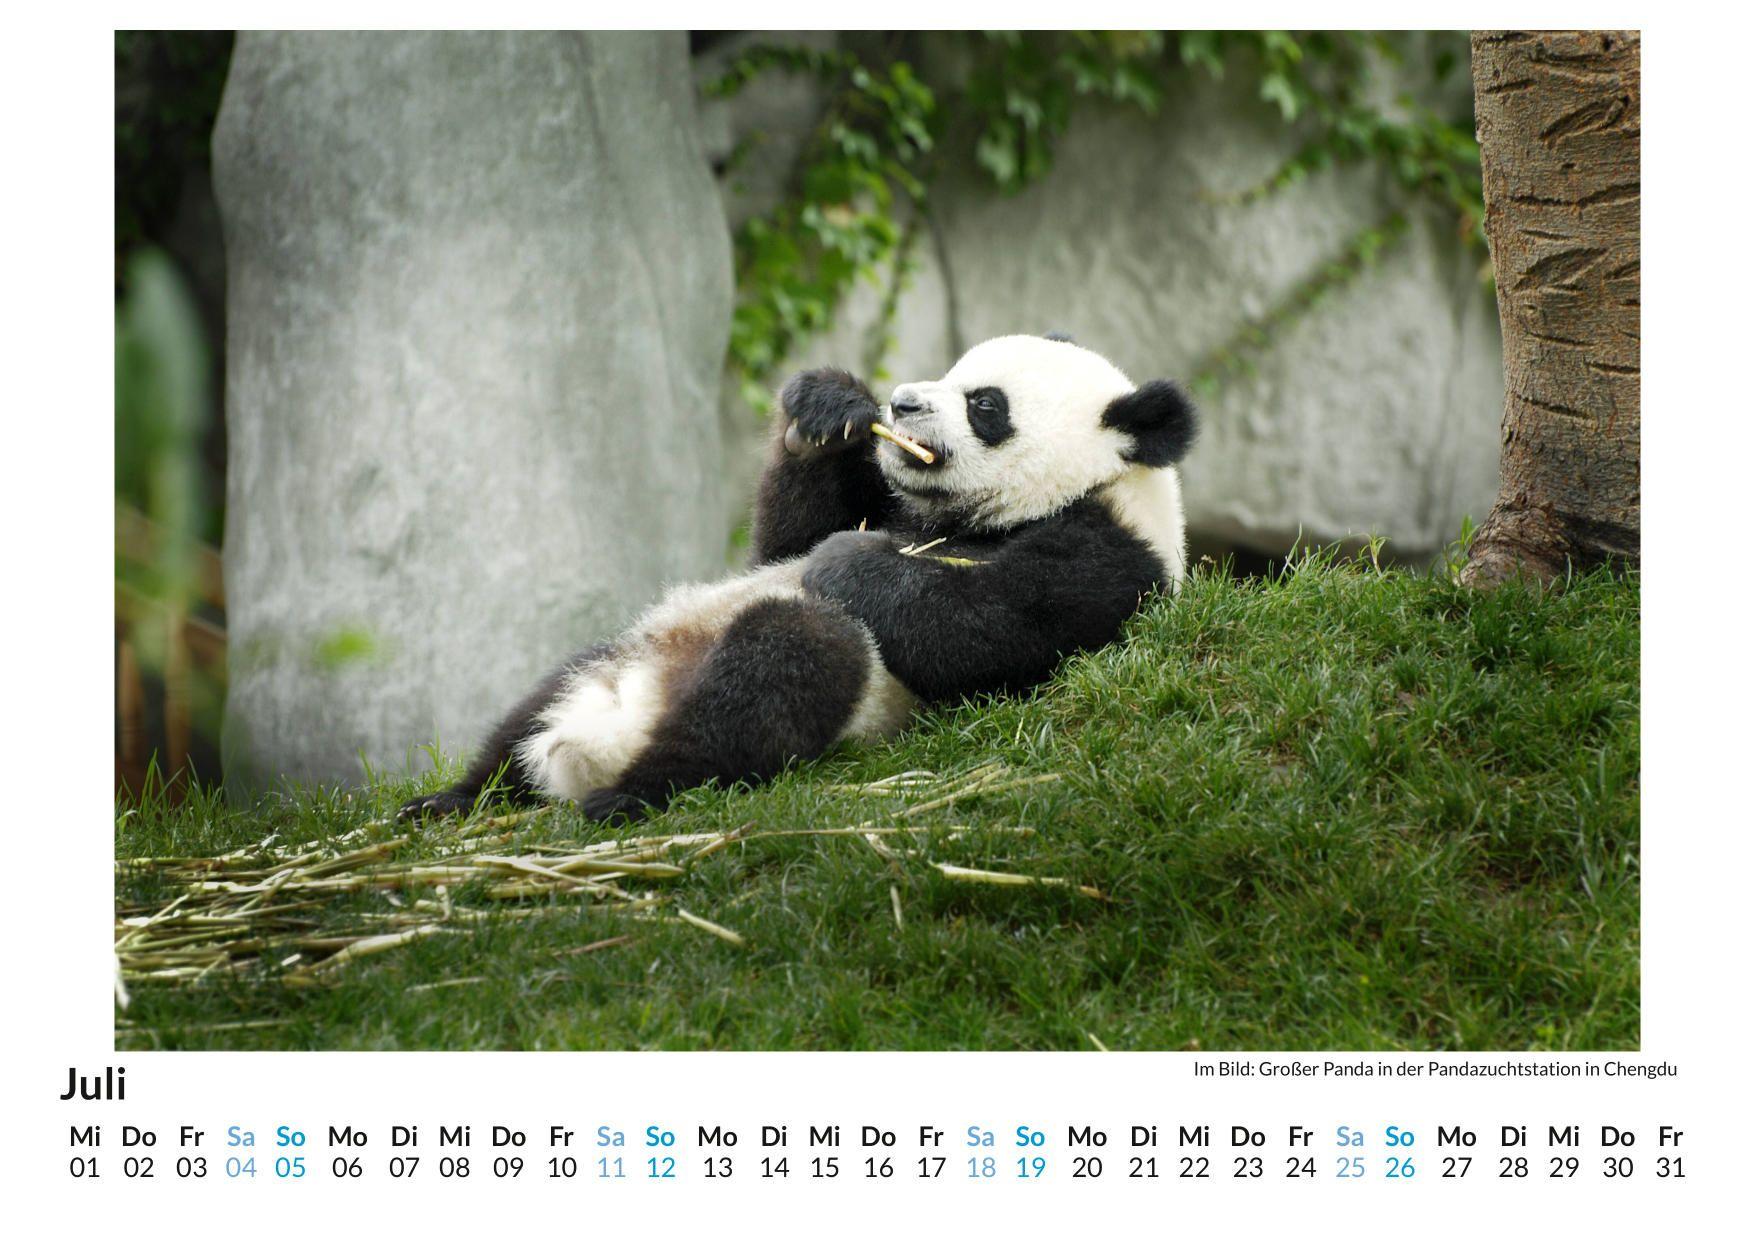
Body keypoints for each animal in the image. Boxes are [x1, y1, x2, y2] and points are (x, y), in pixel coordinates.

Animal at [400, 333, 1196, 822]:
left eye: (984, 404)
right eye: (950, 372)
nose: (903, 403)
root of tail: (601, 737)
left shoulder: (1111, 554)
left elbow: (987, 631)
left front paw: (848, 560)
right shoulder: (888, 502)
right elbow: (780, 543)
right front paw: (829, 409)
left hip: (815, 686)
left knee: (779, 668)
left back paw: (634, 793)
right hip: (630, 646)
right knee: (533, 708)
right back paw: (455, 799)